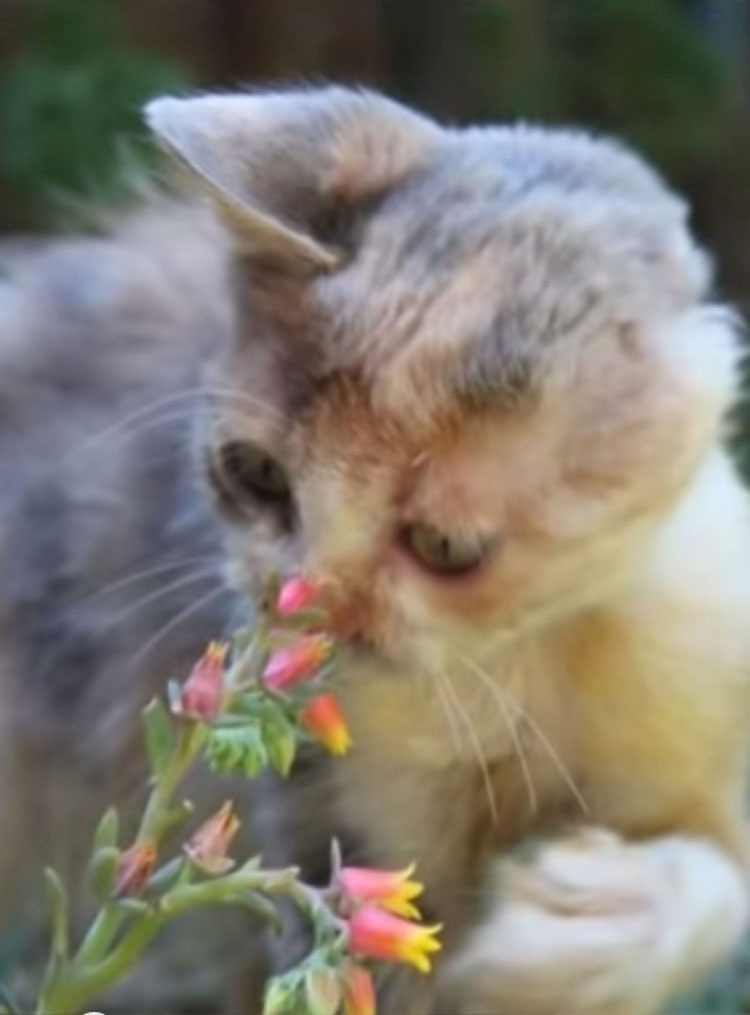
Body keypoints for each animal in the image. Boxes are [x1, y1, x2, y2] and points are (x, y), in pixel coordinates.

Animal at [1, 87, 750, 1015]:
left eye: (446, 546)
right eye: (256, 475)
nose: (300, 602)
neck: (515, 664)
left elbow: (716, 884)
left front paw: (579, 927)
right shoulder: (331, 821)